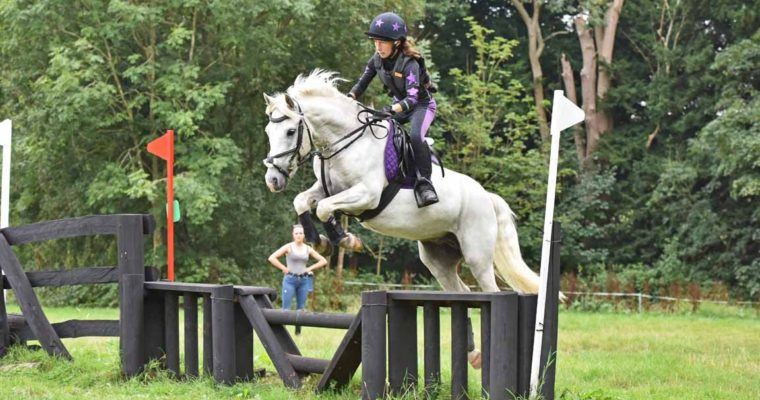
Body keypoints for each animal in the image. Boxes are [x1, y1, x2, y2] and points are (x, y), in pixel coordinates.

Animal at [262, 70, 540, 366]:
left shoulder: (367, 195)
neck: (345, 143)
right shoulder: (326, 189)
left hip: (477, 255)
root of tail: (486, 196)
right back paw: (472, 352)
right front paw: (320, 240)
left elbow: (325, 208)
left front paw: (345, 240)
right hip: (438, 259)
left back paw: (483, 355)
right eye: (269, 132)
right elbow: (303, 201)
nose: (273, 180)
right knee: (463, 293)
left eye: (291, 131)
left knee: (490, 293)